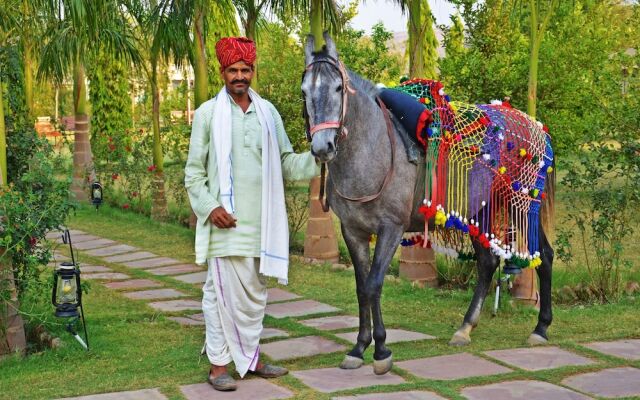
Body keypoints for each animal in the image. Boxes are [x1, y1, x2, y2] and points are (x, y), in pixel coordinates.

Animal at [300, 33, 556, 376]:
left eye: (339, 88)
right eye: (305, 91)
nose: (322, 147)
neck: (372, 150)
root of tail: (536, 126)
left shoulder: (391, 229)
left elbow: (374, 284)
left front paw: (381, 351)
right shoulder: (353, 231)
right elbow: (361, 287)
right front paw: (358, 347)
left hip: (522, 207)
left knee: (545, 256)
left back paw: (540, 328)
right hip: (481, 210)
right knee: (487, 263)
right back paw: (465, 328)